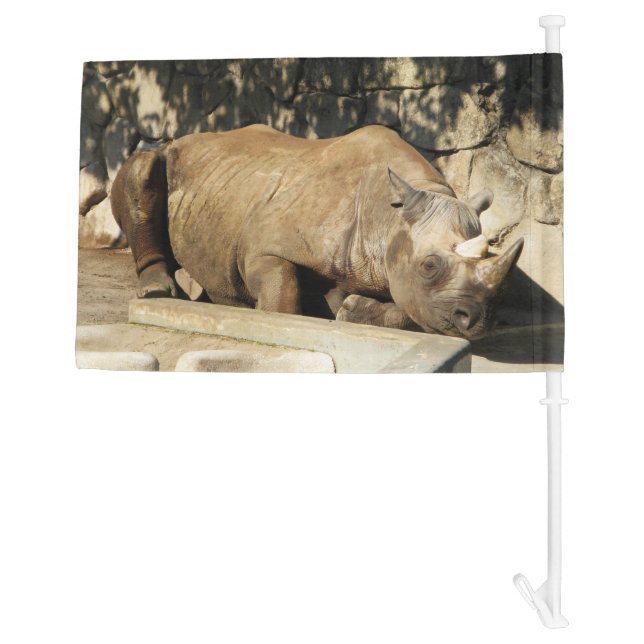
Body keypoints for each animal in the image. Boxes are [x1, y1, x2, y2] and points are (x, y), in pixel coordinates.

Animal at [111, 124, 523, 339]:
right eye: (430, 266)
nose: (478, 320)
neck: (388, 217)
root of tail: (185, 139)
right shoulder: (265, 248)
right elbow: (283, 293)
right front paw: (278, 317)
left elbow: (413, 311)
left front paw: (351, 309)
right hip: (170, 156)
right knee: (143, 166)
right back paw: (158, 291)